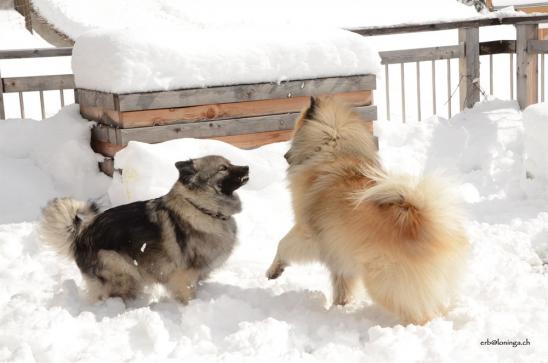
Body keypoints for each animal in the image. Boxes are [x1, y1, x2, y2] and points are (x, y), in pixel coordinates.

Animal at [39, 156, 249, 304]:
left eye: (230, 163)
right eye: (223, 168)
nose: (247, 167)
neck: (201, 208)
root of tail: (80, 235)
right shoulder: (185, 277)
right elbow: (187, 297)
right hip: (124, 273)